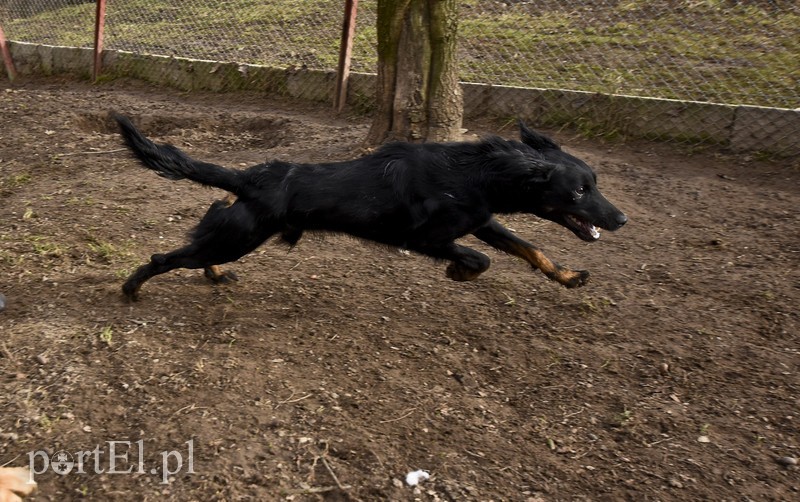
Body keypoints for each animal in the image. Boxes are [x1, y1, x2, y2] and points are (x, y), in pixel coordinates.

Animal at [114, 115, 624, 300]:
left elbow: (532, 250)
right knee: (163, 258)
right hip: (237, 238)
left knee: (202, 247)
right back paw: (131, 289)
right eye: (579, 191)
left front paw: (568, 276)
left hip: (231, 235)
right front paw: (459, 272)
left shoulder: (482, 220)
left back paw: (214, 275)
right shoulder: (424, 237)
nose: (621, 219)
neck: (478, 173)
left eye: (594, 184)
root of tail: (247, 177)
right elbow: (480, 259)